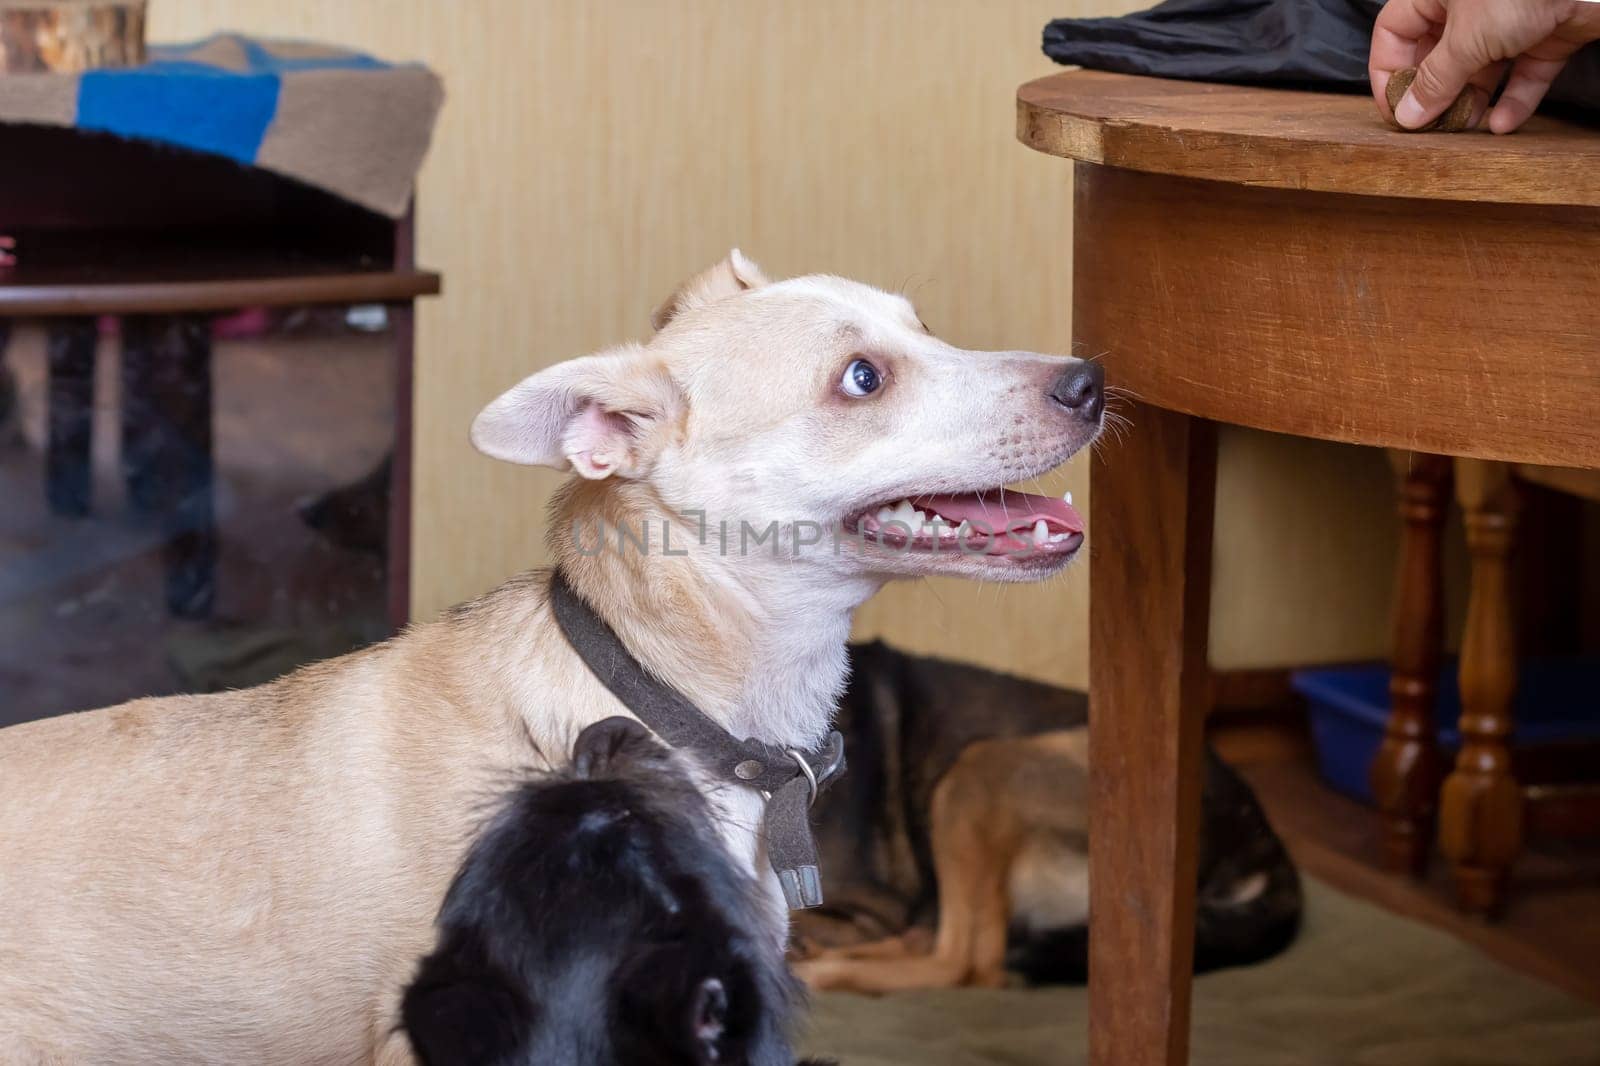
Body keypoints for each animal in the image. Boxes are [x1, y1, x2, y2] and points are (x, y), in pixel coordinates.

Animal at [787, 640, 1299, 998]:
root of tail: (1263, 846)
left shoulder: (873, 908)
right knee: (933, 941)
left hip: (982, 768)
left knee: (964, 962)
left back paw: (820, 971)